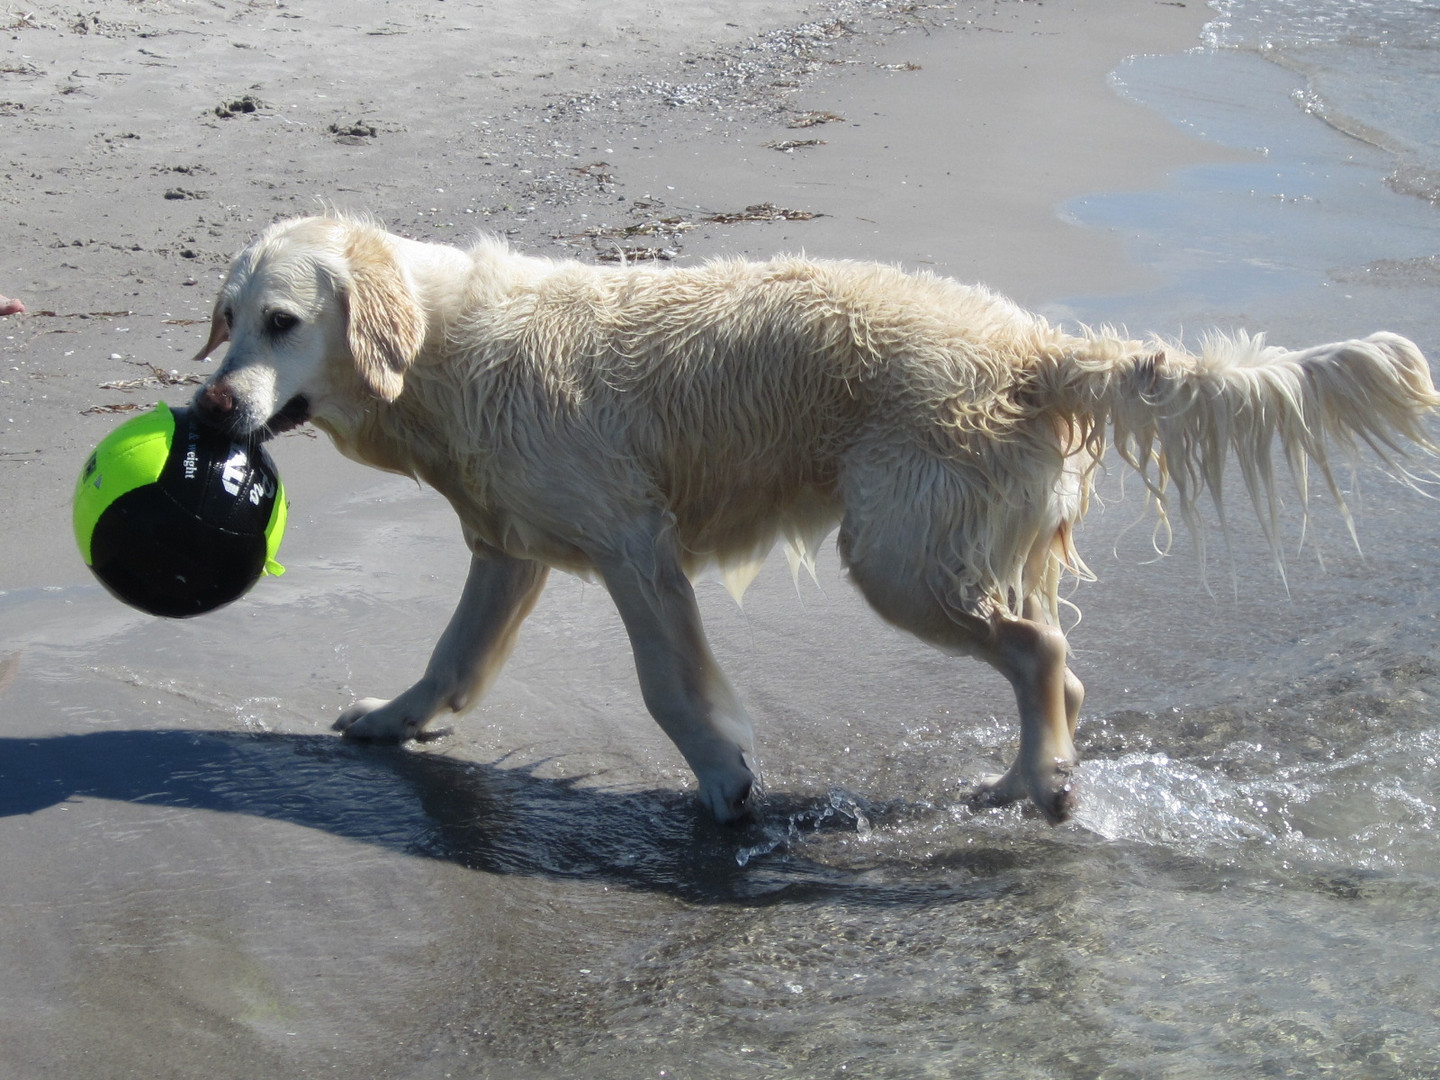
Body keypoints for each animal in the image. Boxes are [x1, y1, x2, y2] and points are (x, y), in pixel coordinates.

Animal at [194, 217, 1440, 829]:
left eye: (283, 321)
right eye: (225, 317)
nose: (206, 407)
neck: (442, 348)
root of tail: (1040, 348)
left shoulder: (632, 542)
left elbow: (669, 687)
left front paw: (723, 783)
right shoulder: (509, 549)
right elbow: (450, 658)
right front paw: (388, 721)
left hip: (897, 555)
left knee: (1043, 651)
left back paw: (1037, 788)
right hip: (943, 548)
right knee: (1061, 665)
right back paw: (1032, 772)